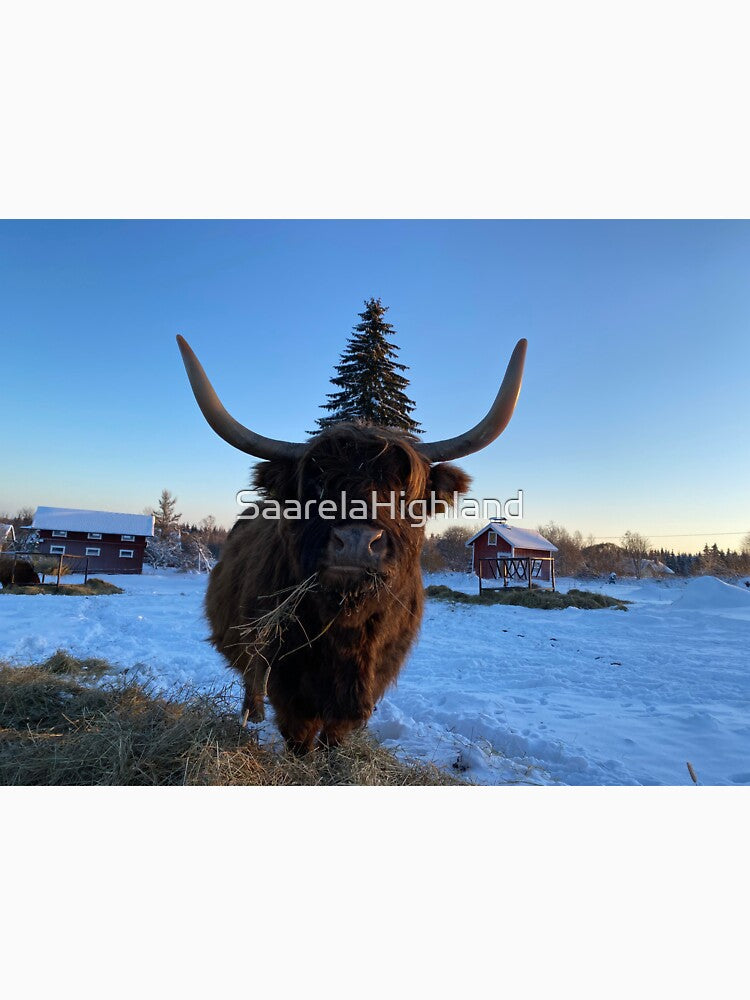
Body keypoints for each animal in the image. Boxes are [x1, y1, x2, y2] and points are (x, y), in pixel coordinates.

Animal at [177, 333, 527, 753]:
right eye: (317, 485)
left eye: (403, 492)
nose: (358, 540)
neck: (346, 625)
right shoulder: (288, 688)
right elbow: (300, 739)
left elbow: (334, 738)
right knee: (251, 681)